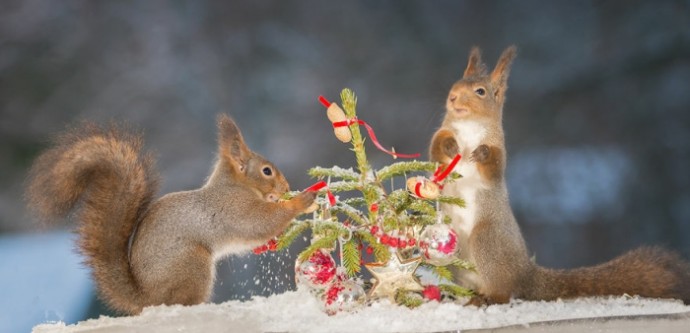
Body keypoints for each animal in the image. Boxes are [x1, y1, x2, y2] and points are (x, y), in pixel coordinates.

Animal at [25, 114, 316, 314]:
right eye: (267, 171)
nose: (286, 188)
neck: (233, 186)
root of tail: (146, 299)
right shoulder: (235, 209)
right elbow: (260, 223)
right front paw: (301, 201)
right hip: (192, 263)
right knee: (182, 301)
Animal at [430, 45, 688, 304]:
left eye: (480, 91)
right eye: (455, 84)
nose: (452, 97)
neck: (469, 126)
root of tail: (526, 273)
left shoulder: (498, 150)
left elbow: (493, 168)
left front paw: (481, 153)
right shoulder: (442, 141)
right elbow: (436, 149)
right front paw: (450, 145)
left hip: (487, 240)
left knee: (502, 292)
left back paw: (486, 299)